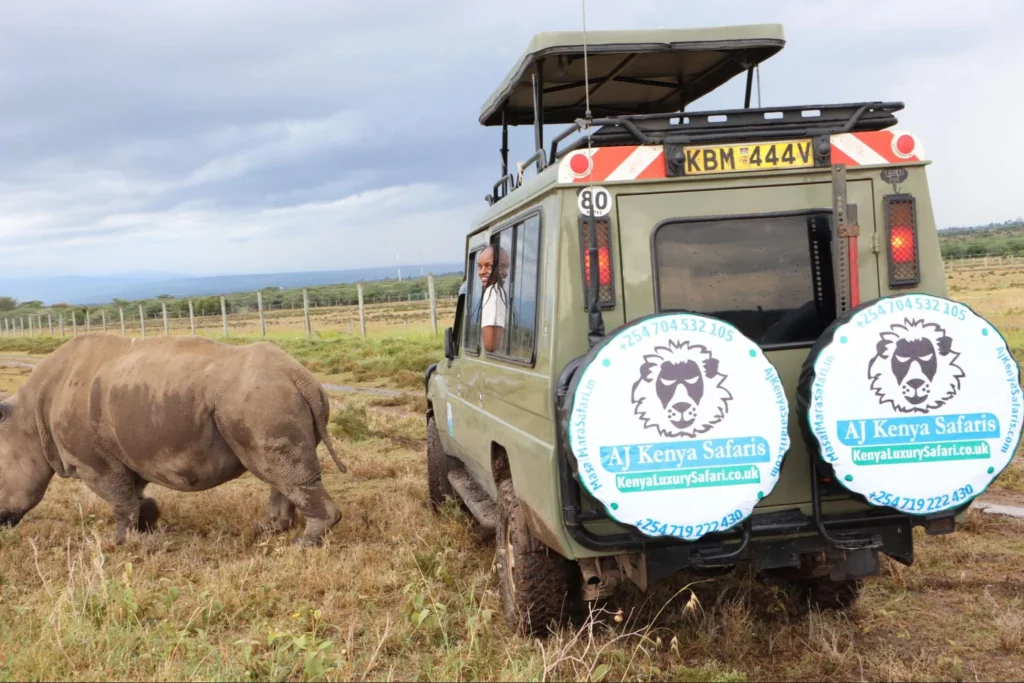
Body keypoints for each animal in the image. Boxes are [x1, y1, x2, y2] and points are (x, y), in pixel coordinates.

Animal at [0, 333, 348, 548]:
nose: (2, 525)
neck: (27, 422)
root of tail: (300, 377)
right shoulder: (127, 452)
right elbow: (132, 495)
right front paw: (149, 521)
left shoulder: (94, 463)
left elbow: (119, 501)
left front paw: (119, 543)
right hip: (268, 399)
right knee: (277, 471)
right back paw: (266, 530)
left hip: (263, 399)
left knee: (281, 470)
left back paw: (301, 544)